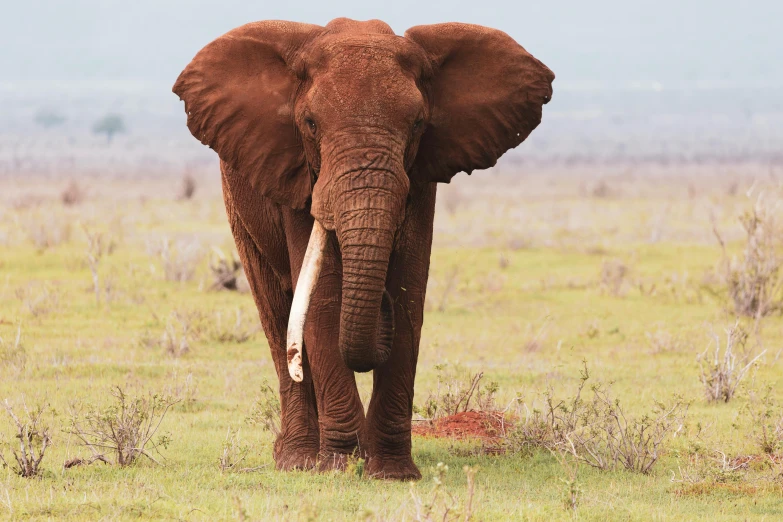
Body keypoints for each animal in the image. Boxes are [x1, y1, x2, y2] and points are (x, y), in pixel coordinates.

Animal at [175, 17, 556, 480]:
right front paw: (339, 465)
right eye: (310, 123)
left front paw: (392, 472)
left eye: (418, 124)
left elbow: (411, 293)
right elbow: (323, 299)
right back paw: (300, 460)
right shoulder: (300, 176)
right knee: (277, 314)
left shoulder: (420, 176)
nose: (381, 311)